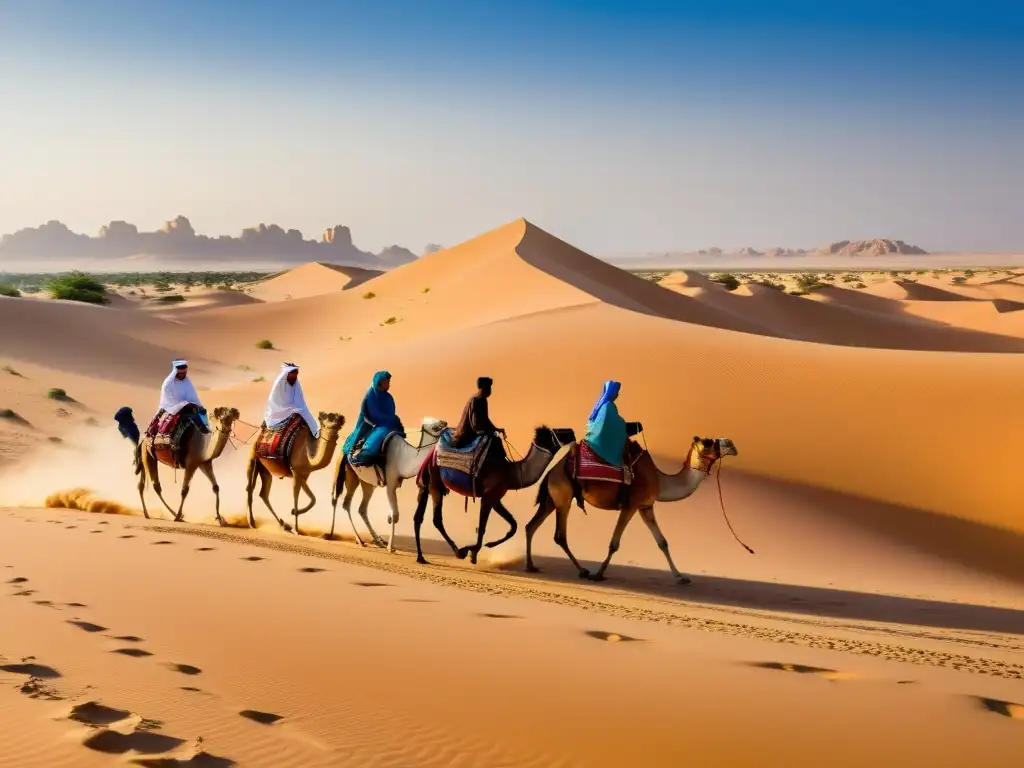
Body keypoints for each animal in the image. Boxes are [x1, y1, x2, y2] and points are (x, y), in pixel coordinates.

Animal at [327, 417, 448, 548]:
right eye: (435, 427)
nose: (446, 424)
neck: (405, 458)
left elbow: (393, 514)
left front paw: (388, 538)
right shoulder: (390, 482)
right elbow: (395, 515)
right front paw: (391, 547)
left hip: (368, 483)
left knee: (362, 508)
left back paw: (378, 541)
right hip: (350, 475)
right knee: (344, 503)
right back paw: (358, 540)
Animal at [413, 428, 577, 565]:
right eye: (556, 432)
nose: (571, 432)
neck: (511, 472)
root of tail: (432, 451)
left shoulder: (496, 497)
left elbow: (513, 525)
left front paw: (488, 545)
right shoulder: (488, 497)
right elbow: (483, 527)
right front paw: (472, 552)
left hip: (427, 485)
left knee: (418, 517)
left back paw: (421, 557)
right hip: (435, 481)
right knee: (436, 519)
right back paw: (458, 552)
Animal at [528, 436, 737, 585]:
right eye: (709, 442)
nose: (731, 444)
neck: (659, 480)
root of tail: (551, 471)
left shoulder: (646, 506)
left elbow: (663, 542)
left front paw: (681, 577)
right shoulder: (631, 505)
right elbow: (614, 543)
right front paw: (599, 574)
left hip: (552, 500)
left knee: (531, 526)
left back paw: (531, 566)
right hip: (564, 497)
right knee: (559, 536)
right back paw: (583, 571)